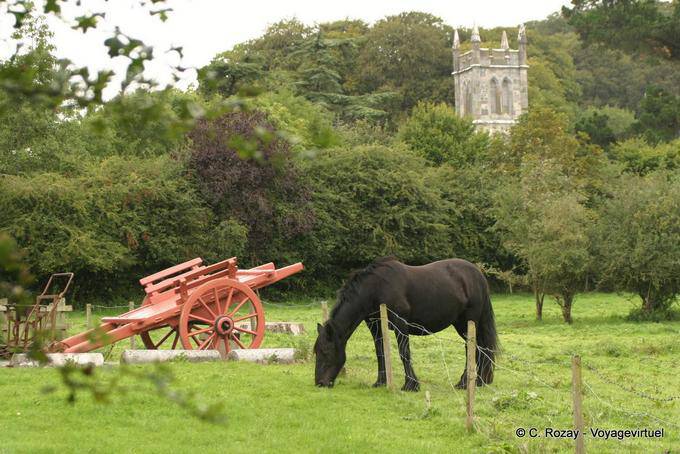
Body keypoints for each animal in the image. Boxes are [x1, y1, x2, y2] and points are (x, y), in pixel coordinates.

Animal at [314, 257, 498, 391]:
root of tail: (478, 275)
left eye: (325, 351)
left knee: (472, 348)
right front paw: (380, 382)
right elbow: (380, 353)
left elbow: (404, 352)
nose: (320, 383)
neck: (376, 288)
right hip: (461, 324)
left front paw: (410, 384)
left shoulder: (400, 323)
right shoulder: (375, 327)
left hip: (468, 323)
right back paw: (478, 381)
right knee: (479, 348)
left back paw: (464, 383)